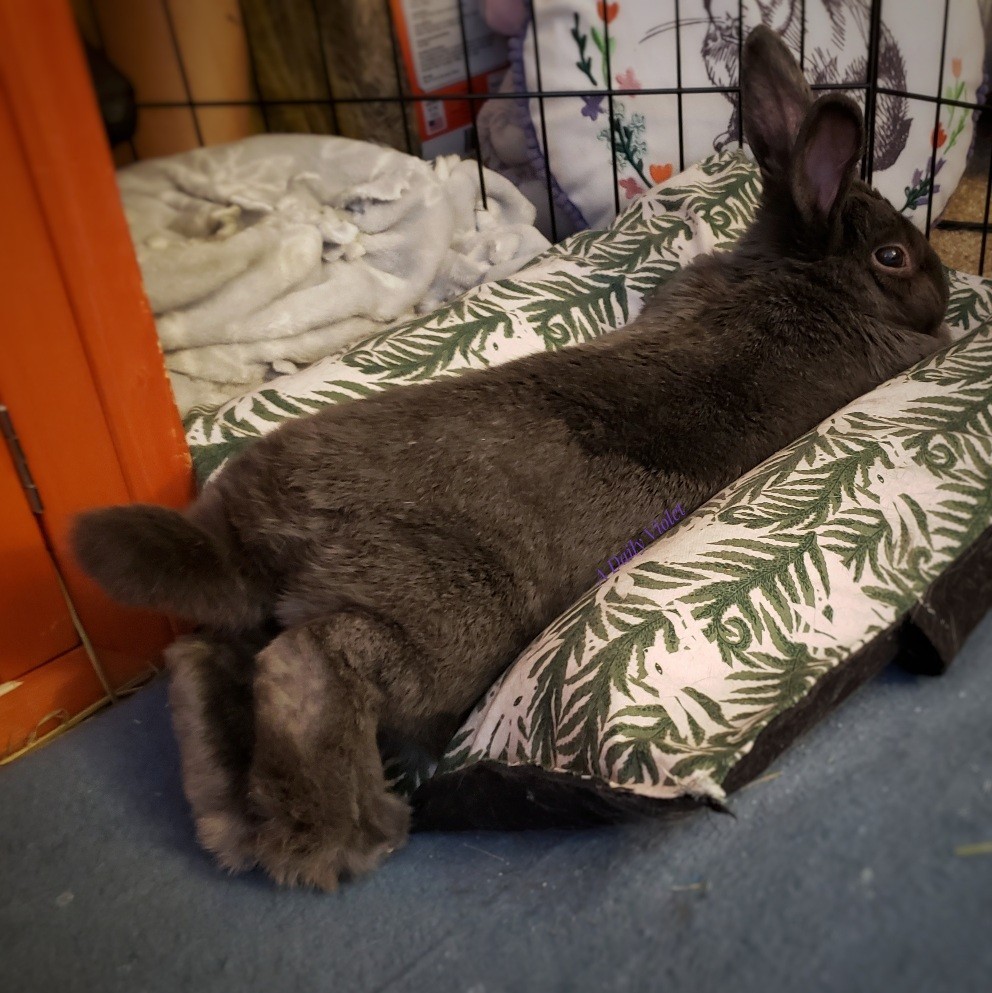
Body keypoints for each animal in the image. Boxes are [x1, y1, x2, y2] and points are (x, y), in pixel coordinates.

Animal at [73, 25, 948, 892]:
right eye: (895, 257)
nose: (943, 290)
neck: (810, 281)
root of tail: (253, 531)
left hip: (262, 619)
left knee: (202, 657)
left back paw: (233, 820)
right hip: (441, 621)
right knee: (307, 668)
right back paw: (339, 839)